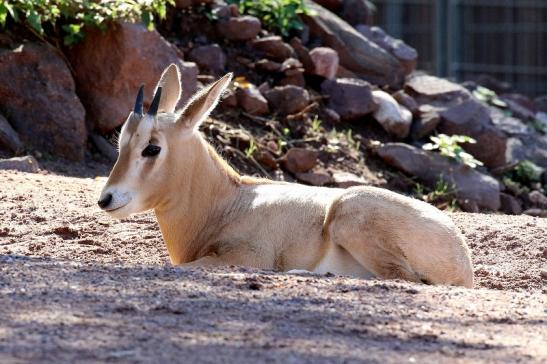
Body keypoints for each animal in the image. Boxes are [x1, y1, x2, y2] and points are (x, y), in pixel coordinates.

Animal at [98, 64, 476, 288]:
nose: (106, 199)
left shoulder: (244, 257)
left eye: (152, 148)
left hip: (350, 214)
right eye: (121, 142)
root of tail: (461, 255)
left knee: (402, 279)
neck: (229, 201)